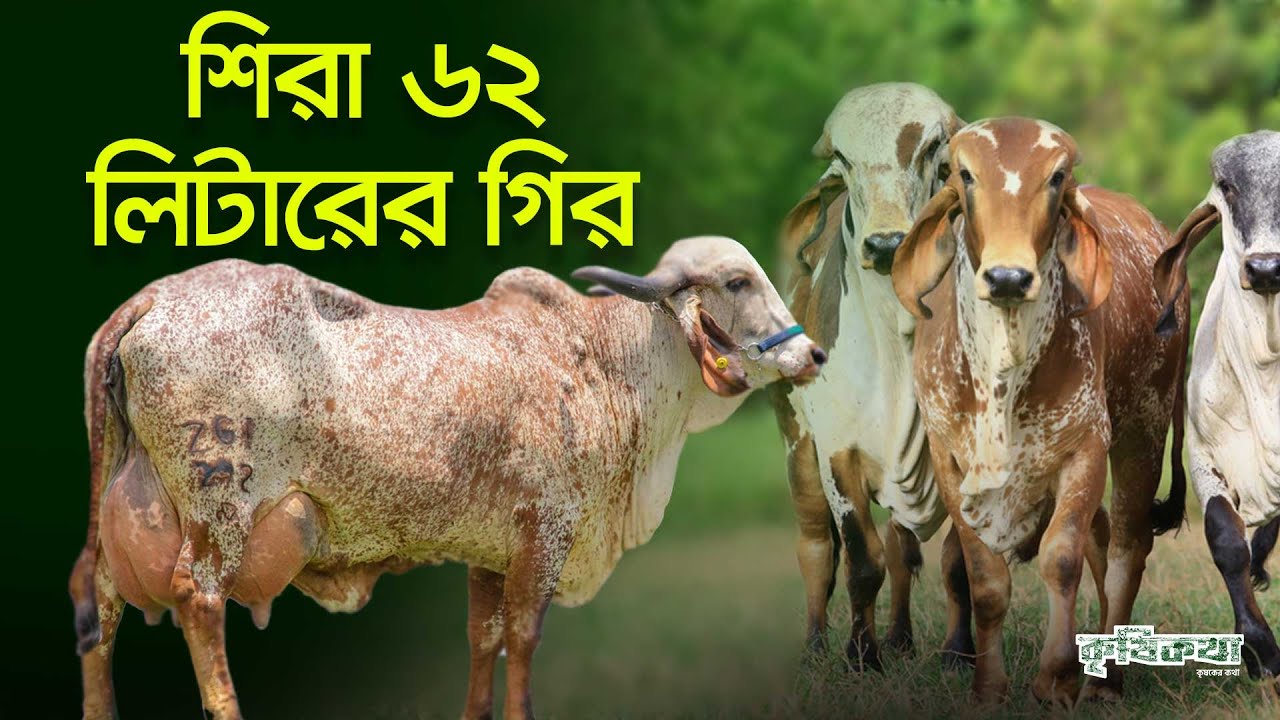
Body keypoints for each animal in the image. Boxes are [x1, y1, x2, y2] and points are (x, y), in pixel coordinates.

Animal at [68, 236, 825, 720]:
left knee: (98, 601)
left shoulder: (490, 551)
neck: (605, 362)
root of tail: (152, 298)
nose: (814, 353)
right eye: (737, 282)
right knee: (198, 601)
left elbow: (484, 642)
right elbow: (523, 640)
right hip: (219, 507)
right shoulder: (545, 534)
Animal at [769, 82, 961, 669]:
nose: (886, 245)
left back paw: (900, 637)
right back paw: (815, 647)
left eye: (931, 148)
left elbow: (954, 563)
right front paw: (860, 656)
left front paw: (958, 654)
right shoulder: (838, 454)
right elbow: (860, 562)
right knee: (815, 548)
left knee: (902, 549)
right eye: (844, 159)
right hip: (797, 447)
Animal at [891, 117, 1187, 705]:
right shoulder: (949, 458)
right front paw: (988, 687)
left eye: (1056, 177)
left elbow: (1062, 559)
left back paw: (1105, 682)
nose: (1008, 278)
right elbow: (983, 579)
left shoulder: (1085, 447)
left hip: (1144, 429)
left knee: (1126, 549)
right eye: (965, 175)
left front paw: (1055, 679)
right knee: (1103, 541)